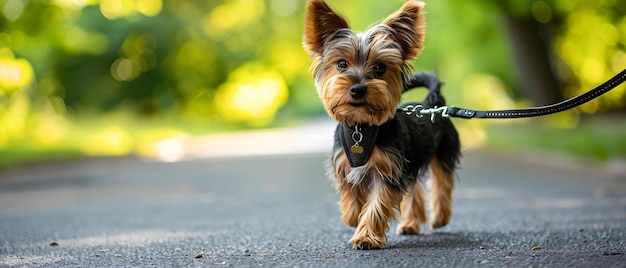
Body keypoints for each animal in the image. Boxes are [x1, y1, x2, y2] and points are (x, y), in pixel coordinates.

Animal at [302, 0, 458, 249]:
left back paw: (440, 218)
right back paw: (411, 224)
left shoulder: (389, 170)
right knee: (413, 189)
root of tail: (432, 102)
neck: (361, 127)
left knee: (442, 182)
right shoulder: (347, 165)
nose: (357, 89)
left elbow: (377, 205)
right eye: (342, 64)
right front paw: (353, 217)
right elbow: (351, 198)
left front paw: (365, 237)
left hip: (442, 151)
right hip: (410, 161)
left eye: (379, 68)